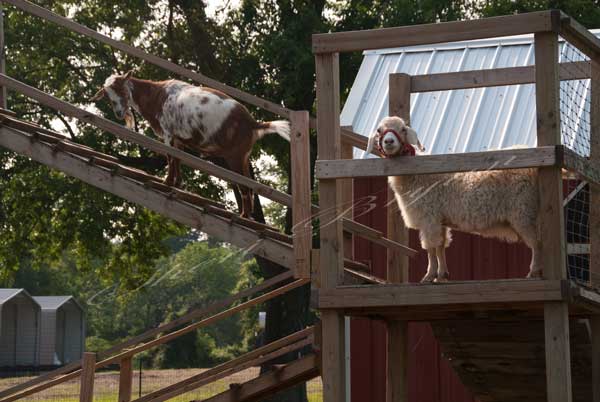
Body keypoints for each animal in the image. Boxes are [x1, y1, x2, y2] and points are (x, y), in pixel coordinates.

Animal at [89, 70, 292, 218]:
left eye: (122, 90)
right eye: (107, 95)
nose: (119, 113)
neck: (157, 96)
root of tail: (253, 123)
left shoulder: (168, 133)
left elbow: (170, 158)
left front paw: (167, 182)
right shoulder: (178, 138)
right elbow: (178, 160)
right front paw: (176, 183)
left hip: (235, 156)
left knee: (243, 185)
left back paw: (243, 215)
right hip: (243, 157)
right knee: (249, 184)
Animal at [366, 116, 544, 282]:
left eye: (403, 129)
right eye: (379, 130)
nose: (389, 141)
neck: (416, 173)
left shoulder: (429, 218)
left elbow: (430, 248)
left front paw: (429, 276)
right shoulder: (440, 220)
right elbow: (440, 247)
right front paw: (441, 275)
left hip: (523, 212)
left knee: (536, 243)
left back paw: (534, 272)